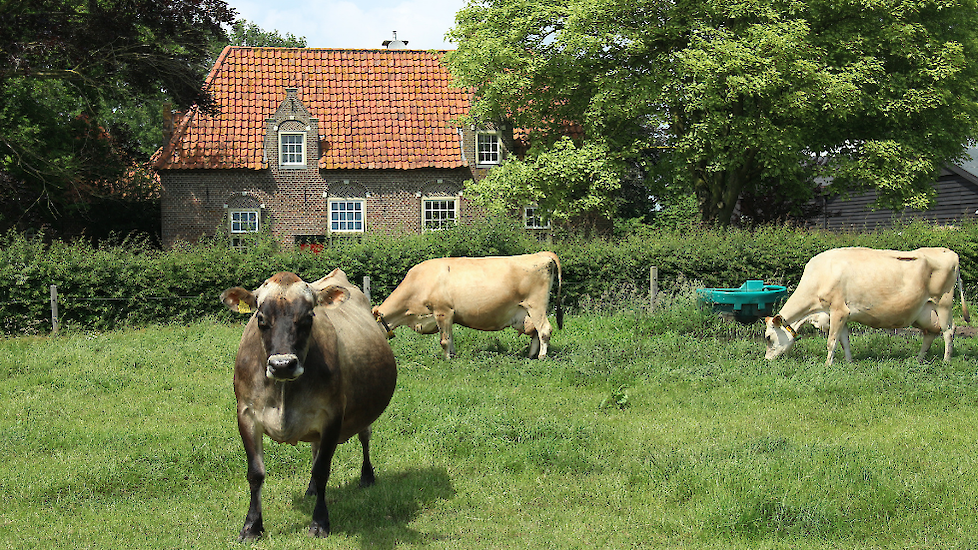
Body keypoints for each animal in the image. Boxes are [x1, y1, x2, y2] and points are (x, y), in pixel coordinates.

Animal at [219, 270, 394, 540]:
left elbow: (322, 470)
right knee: (315, 446)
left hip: (363, 411)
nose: (282, 364)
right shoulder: (246, 414)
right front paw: (252, 526)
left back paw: (367, 477)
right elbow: (255, 473)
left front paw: (320, 522)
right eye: (261, 318)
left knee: (364, 437)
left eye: (309, 317)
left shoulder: (332, 415)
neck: (283, 391)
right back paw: (310, 489)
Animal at [370, 252, 560, 360]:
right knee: (535, 332)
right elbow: (450, 337)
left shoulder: (442, 311)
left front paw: (447, 359)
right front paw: (453, 355)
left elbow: (444, 340)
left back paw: (541, 356)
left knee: (544, 329)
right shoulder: (449, 315)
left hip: (536, 305)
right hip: (527, 312)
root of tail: (541, 255)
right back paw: (531, 355)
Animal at [768, 248, 964, 368]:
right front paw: (849, 362)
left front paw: (827, 365)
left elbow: (832, 341)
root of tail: (950, 252)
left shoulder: (838, 310)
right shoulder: (842, 315)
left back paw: (946, 361)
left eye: (768, 337)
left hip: (943, 303)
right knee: (930, 333)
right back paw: (919, 358)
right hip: (926, 312)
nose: (766, 359)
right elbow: (844, 341)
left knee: (948, 331)